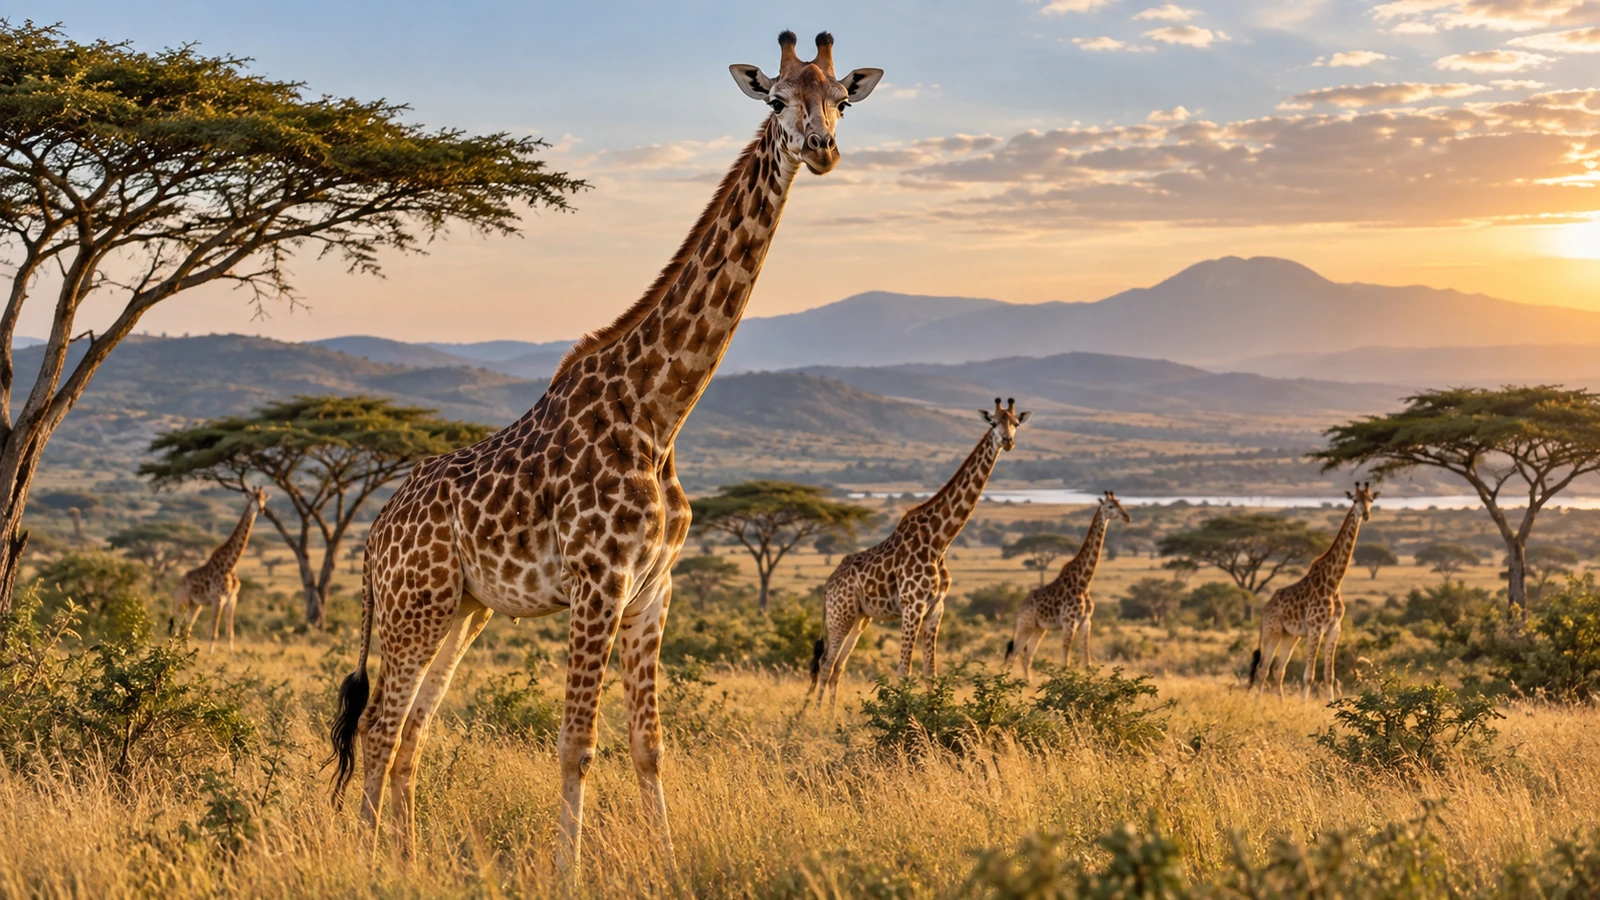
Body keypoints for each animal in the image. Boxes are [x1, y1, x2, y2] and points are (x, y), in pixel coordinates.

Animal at [171, 486, 270, 653]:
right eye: (253, 499)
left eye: (263, 498)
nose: (262, 509)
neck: (231, 564)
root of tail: (177, 583)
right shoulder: (218, 599)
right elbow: (214, 632)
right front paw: (211, 653)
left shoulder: (232, 599)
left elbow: (230, 633)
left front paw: (232, 654)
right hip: (181, 601)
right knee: (177, 627)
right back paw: (171, 651)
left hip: (195, 605)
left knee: (187, 628)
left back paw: (186, 652)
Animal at [324, 32, 883, 868]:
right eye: (779, 99)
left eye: (841, 100)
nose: (822, 150)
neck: (659, 413)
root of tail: (371, 541)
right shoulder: (598, 584)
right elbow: (576, 745)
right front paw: (567, 870)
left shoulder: (654, 589)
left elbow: (650, 746)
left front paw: (672, 867)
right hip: (413, 605)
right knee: (381, 727)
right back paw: (371, 862)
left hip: (463, 611)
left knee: (411, 732)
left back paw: (407, 860)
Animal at [807, 398, 1031, 710]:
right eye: (993, 423)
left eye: (1016, 423)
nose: (1008, 441)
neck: (940, 541)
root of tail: (827, 585)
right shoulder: (913, 605)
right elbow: (905, 671)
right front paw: (904, 717)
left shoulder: (936, 608)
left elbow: (931, 673)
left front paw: (931, 715)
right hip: (841, 614)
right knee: (826, 664)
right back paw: (817, 716)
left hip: (860, 617)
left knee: (839, 665)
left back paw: (832, 715)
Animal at [1004, 491, 1131, 680]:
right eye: (1110, 506)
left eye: (1120, 504)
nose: (1127, 517)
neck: (1084, 583)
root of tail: (1019, 608)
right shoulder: (1069, 623)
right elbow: (1066, 663)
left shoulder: (1086, 622)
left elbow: (1087, 663)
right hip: (1026, 626)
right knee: (1012, 656)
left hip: (1040, 629)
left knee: (1026, 658)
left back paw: (1028, 684)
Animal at [1248, 482, 1379, 700]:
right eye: (1354, 500)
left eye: (1371, 500)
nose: (1366, 514)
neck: (1334, 583)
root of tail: (1264, 609)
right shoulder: (1315, 628)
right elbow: (1308, 675)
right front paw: (1304, 705)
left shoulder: (1334, 629)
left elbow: (1329, 675)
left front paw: (1331, 704)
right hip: (1272, 631)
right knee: (1262, 669)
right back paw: (1258, 703)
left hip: (1290, 636)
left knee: (1278, 669)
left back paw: (1281, 703)